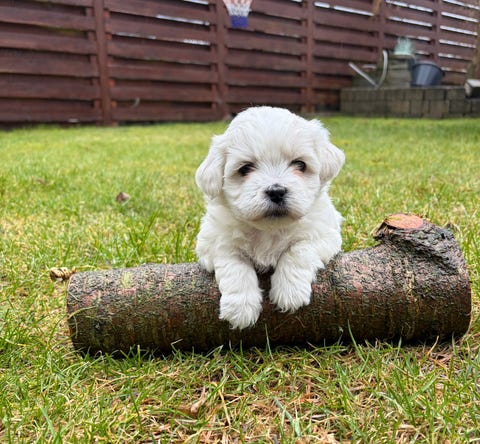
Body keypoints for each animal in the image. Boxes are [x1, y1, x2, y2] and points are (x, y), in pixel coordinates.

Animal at [195, 106, 344, 329]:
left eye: (300, 164)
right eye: (245, 168)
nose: (276, 191)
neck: (269, 229)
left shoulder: (325, 234)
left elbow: (299, 249)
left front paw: (290, 292)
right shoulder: (213, 242)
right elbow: (234, 262)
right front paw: (240, 308)